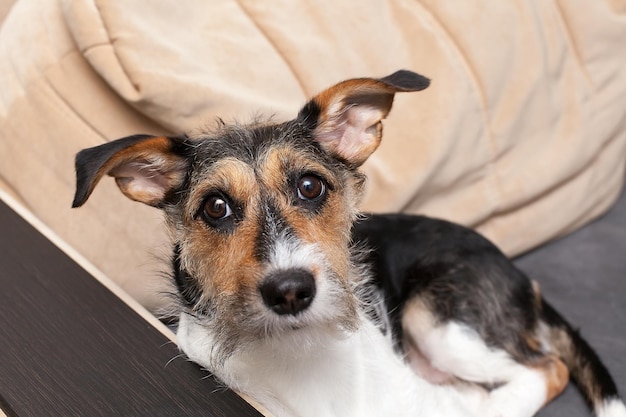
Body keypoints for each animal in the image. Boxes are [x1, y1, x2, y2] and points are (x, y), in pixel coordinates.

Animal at [72, 70, 620, 414]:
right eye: (216, 207)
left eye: (310, 186)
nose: (290, 290)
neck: (302, 357)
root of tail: (519, 274)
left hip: (438, 319)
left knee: (544, 370)